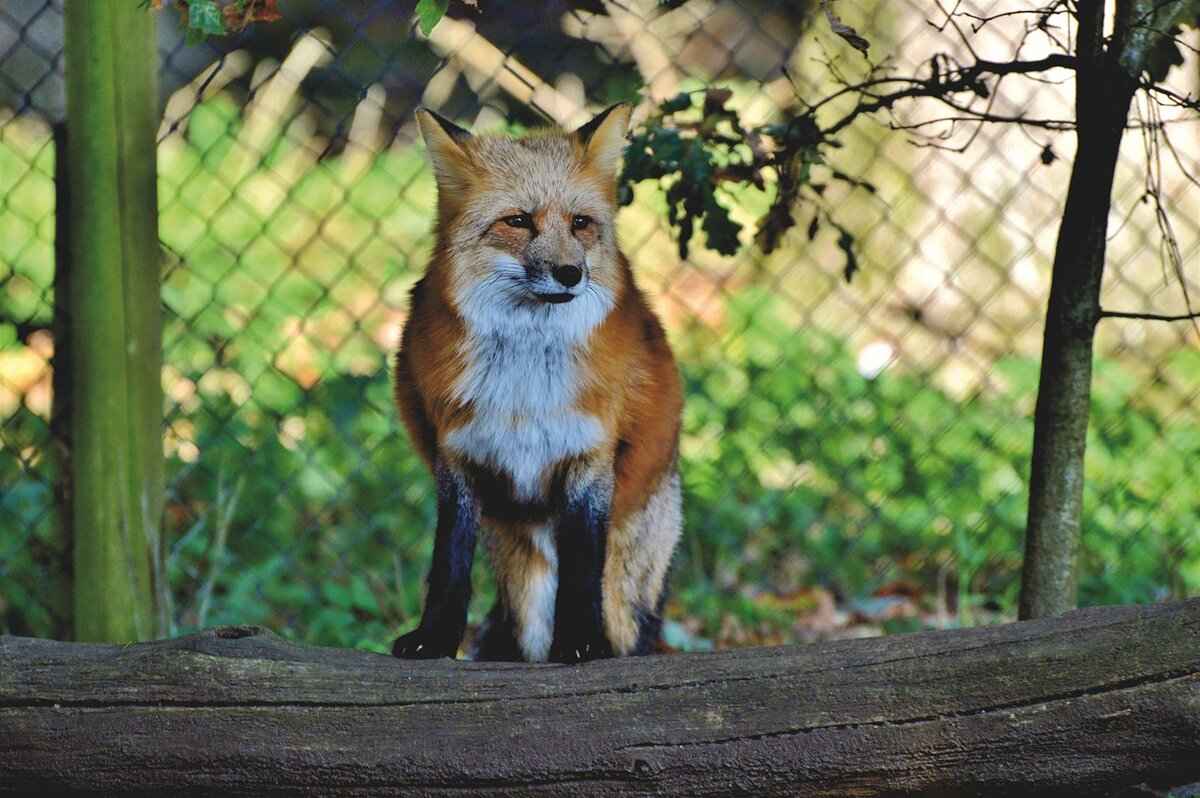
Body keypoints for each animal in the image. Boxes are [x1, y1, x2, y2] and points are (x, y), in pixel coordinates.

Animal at [390, 104, 683, 664]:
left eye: (580, 224)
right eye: (518, 221)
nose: (570, 273)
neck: (524, 388)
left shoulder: (589, 460)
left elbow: (582, 573)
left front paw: (583, 644)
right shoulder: (457, 455)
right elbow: (448, 566)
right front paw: (433, 639)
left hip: (624, 584)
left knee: (631, 629)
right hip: (523, 581)